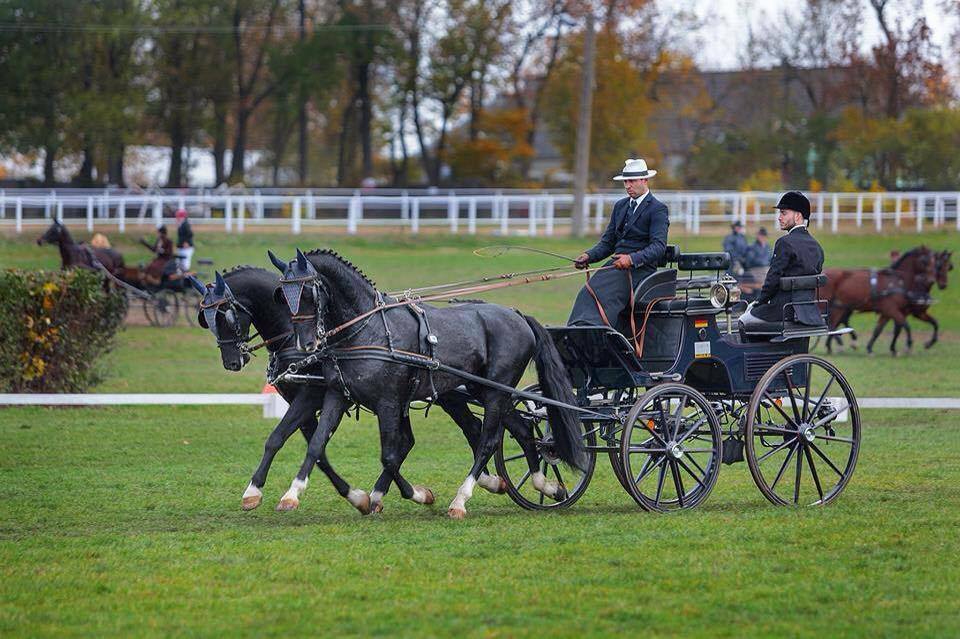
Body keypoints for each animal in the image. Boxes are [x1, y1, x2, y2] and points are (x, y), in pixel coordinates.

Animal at [190, 268, 512, 516]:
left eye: (227, 317)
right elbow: (286, 441)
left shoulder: (310, 397)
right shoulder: (305, 400)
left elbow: (312, 449)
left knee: (477, 430)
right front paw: (255, 492)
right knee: (456, 432)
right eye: (206, 319)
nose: (232, 361)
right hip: (442, 394)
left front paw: (352, 496)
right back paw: (484, 483)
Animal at [268, 249, 584, 520]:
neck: (369, 329)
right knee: (522, 429)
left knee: (488, 441)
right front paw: (292, 496)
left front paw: (401, 496)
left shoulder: (388, 402)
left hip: (496, 391)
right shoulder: (338, 394)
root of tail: (517, 315)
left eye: (310, 292)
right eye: (282, 295)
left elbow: (389, 456)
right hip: (486, 391)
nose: (306, 345)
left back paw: (461, 500)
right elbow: (317, 445)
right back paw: (545, 485)